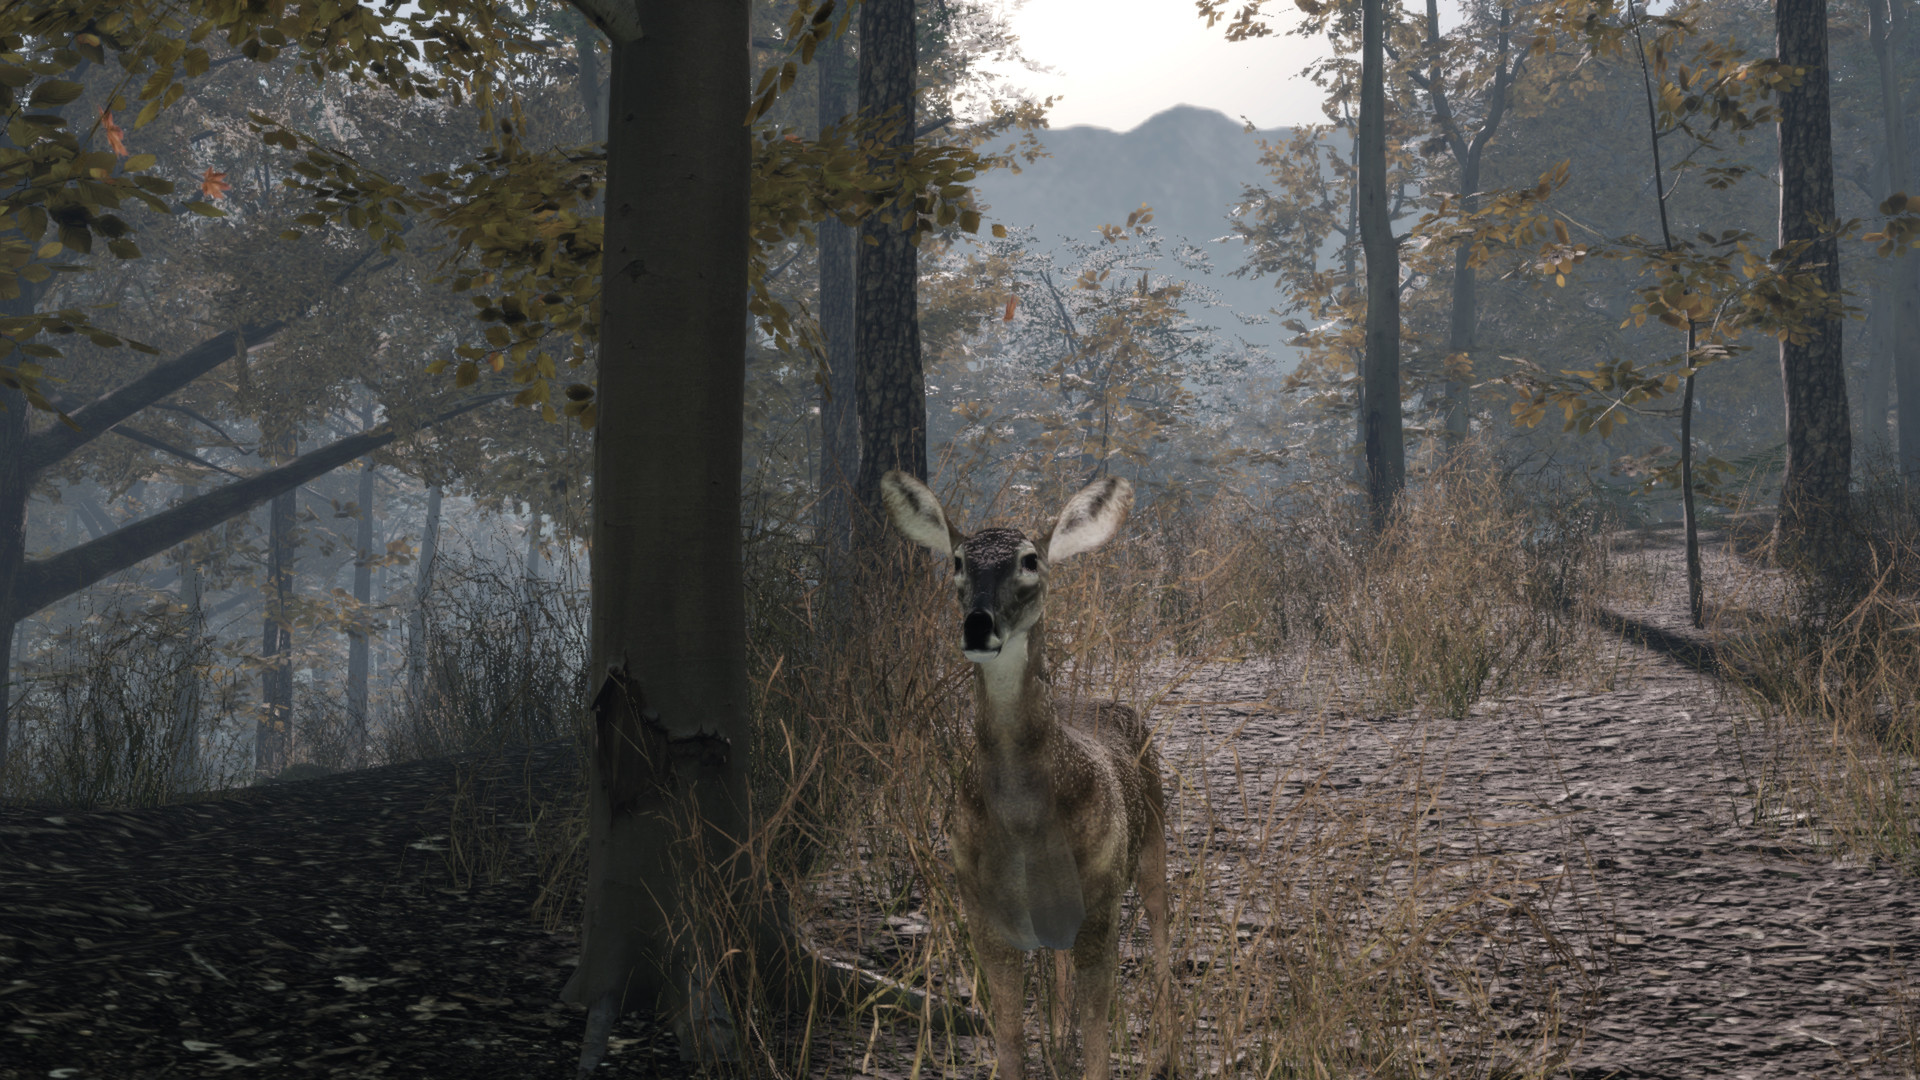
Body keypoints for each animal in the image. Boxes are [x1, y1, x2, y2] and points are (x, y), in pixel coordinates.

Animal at [880, 470, 1173, 1080]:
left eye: (1030, 559)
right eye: (958, 561)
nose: (978, 626)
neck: (1022, 823)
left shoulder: (1099, 907)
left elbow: (1098, 1043)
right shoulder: (983, 915)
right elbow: (1011, 1038)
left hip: (1152, 839)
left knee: (1161, 930)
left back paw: (1169, 1053)